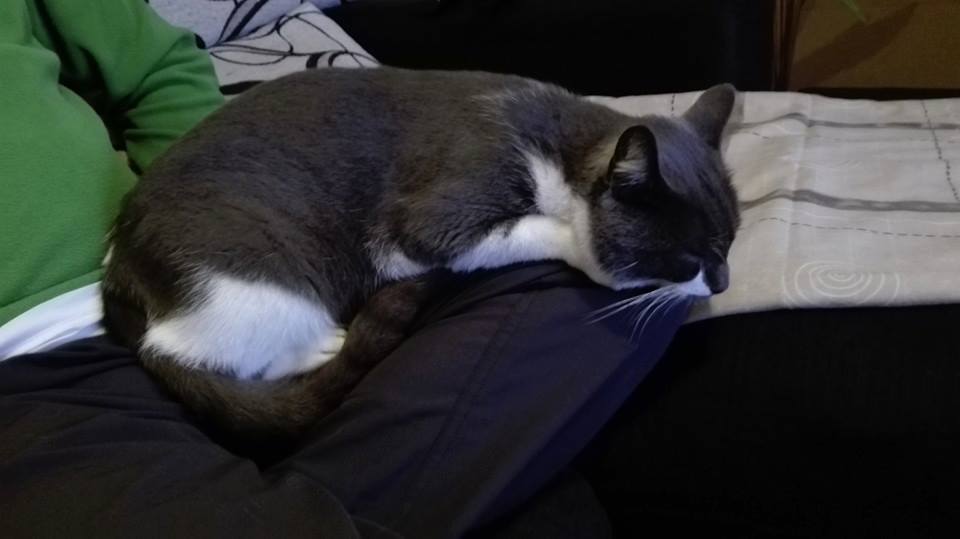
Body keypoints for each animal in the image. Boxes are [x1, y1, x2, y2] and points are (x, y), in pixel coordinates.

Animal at [103, 67, 739, 438]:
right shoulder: (442, 207)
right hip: (258, 272)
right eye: (688, 258)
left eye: (731, 243)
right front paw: (586, 249)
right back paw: (322, 345)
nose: (724, 283)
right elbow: (528, 232)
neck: (559, 138)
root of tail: (120, 272)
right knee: (202, 352)